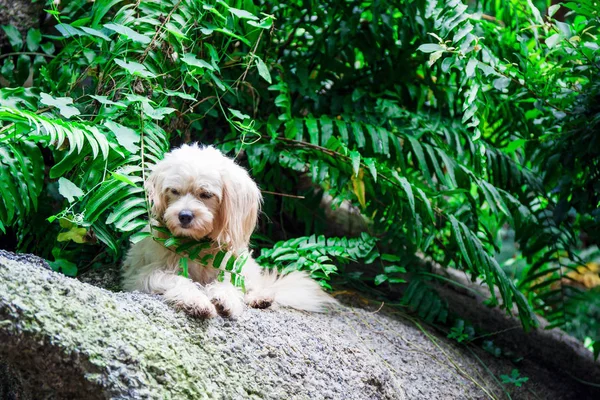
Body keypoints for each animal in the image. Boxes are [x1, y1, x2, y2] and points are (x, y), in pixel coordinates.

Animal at [121, 145, 332, 318]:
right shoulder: (142, 276)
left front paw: (224, 298)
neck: (197, 245)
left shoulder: (229, 267)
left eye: (206, 194)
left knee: (253, 284)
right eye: (174, 191)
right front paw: (196, 300)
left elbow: (228, 284)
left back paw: (260, 297)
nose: (184, 215)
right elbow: (177, 280)